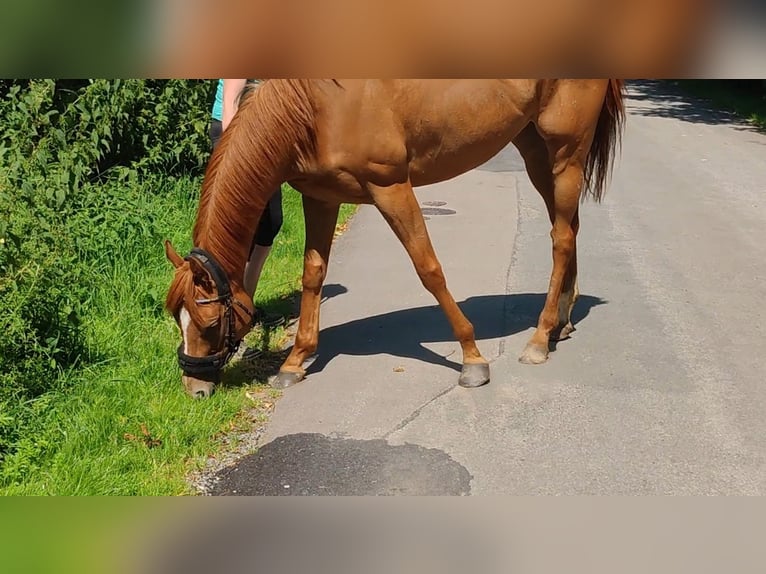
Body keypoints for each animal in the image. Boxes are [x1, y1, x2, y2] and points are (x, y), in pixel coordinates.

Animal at [164, 79, 624, 398]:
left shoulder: (391, 188)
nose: (195, 389)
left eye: (209, 323)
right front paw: (295, 362)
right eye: (177, 319)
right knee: (568, 228)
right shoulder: (321, 197)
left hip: (567, 151)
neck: (317, 104)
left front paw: (472, 359)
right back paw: (560, 323)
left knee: (561, 238)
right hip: (534, 149)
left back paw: (539, 339)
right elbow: (313, 273)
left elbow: (428, 268)